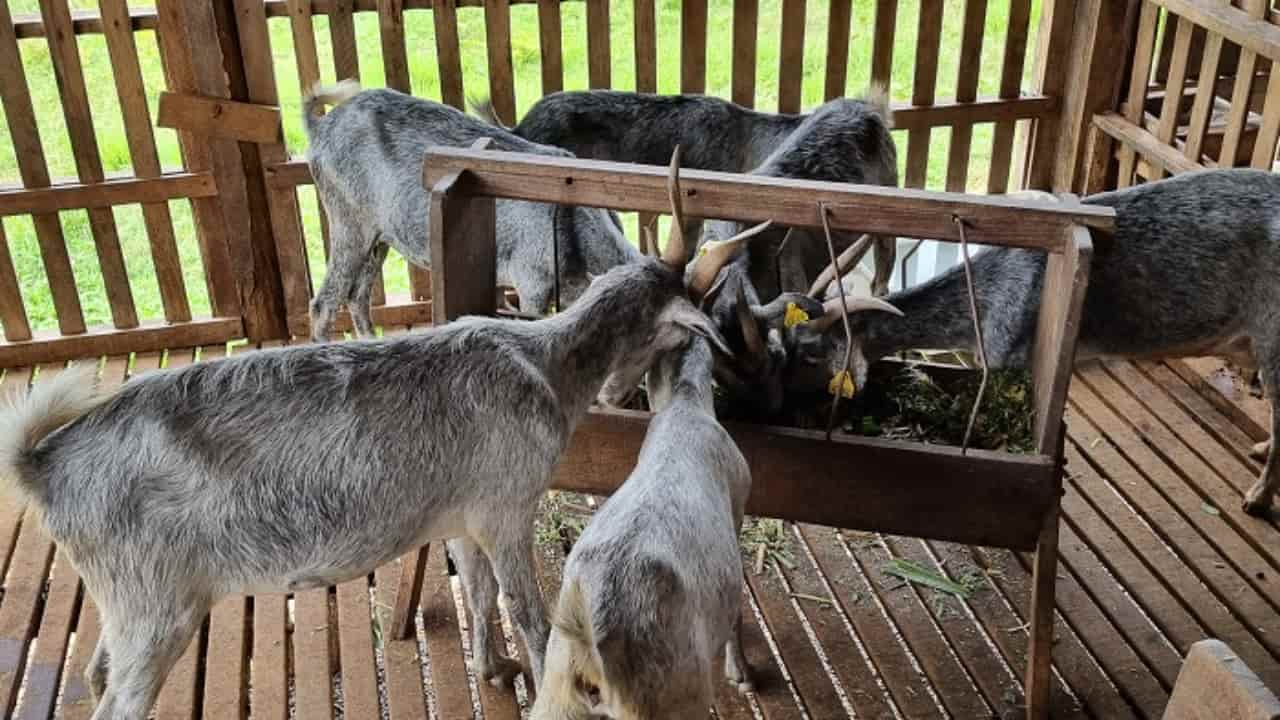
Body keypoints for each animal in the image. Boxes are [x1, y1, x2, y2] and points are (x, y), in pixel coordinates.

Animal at [305, 82, 645, 340]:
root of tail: (319, 128)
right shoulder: (530, 282)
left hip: (379, 236)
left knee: (357, 296)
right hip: (347, 220)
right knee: (323, 303)